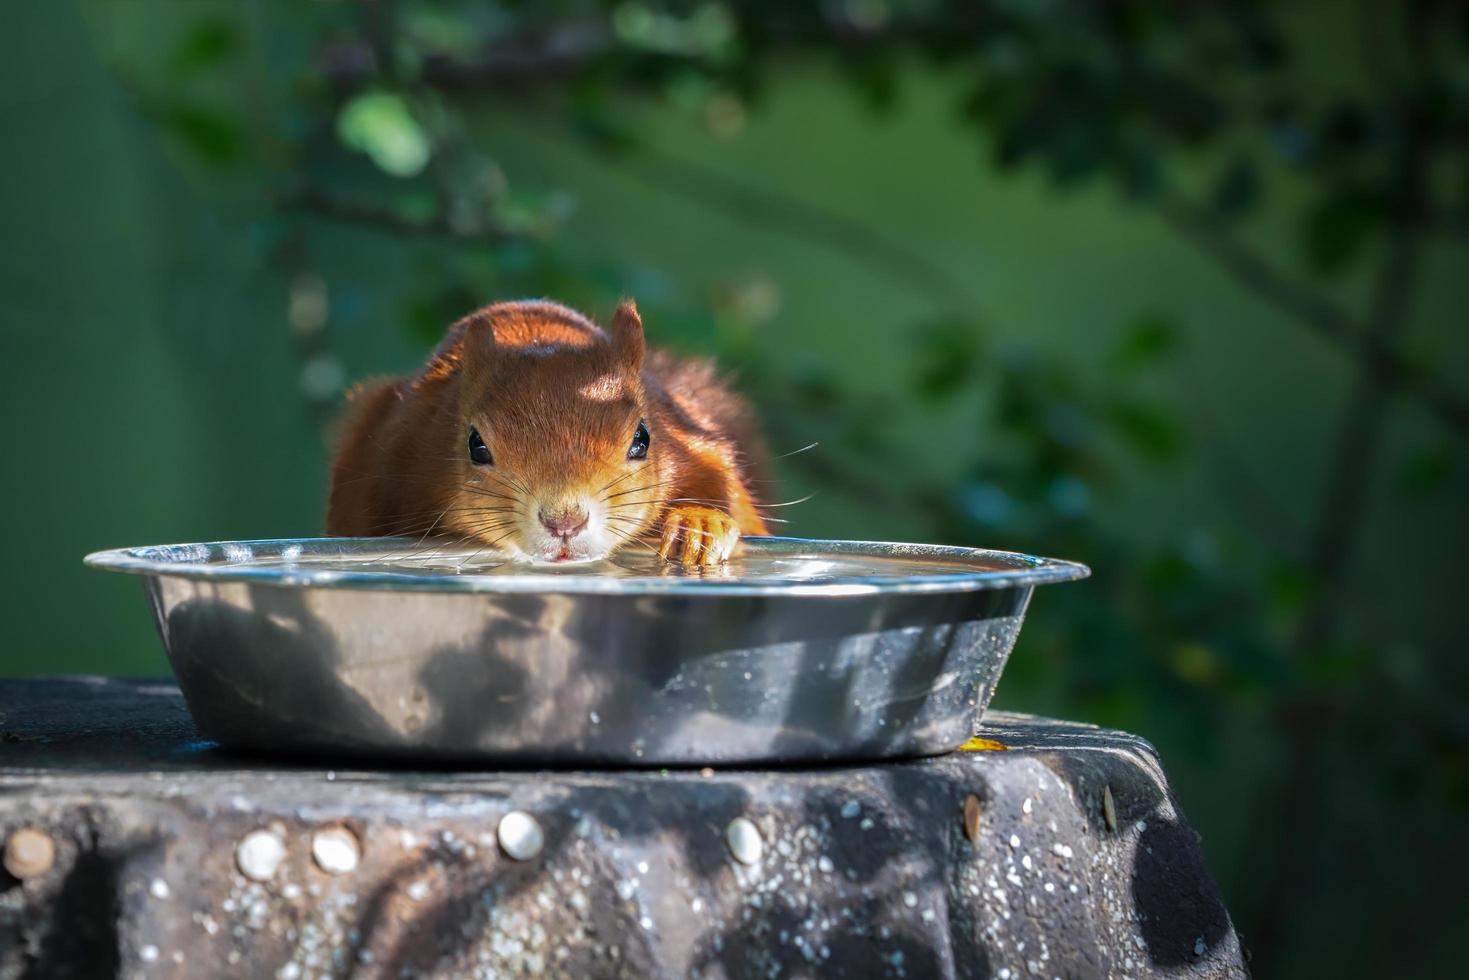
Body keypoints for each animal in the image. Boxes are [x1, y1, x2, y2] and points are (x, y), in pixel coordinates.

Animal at [324, 296, 769, 567]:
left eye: (642, 438)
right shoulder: (396, 451)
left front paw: (700, 525)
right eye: (476, 445)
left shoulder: (694, 444)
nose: (564, 522)